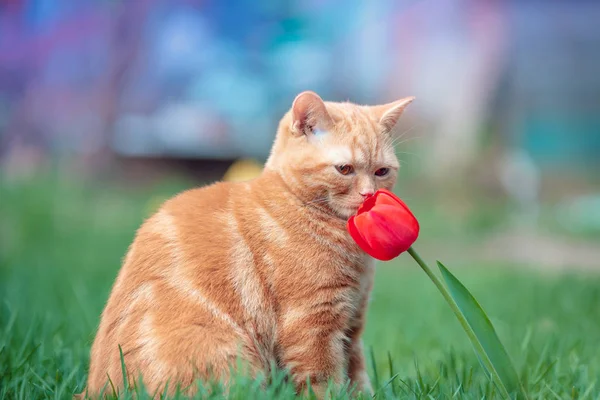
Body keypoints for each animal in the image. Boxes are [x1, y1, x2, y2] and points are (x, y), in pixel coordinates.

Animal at [82, 91, 414, 396]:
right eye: (344, 169)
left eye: (381, 171)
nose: (369, 195)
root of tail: (93, 391)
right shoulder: (311, 324)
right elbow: (324, 382)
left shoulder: (353, 323)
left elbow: (357, 375)